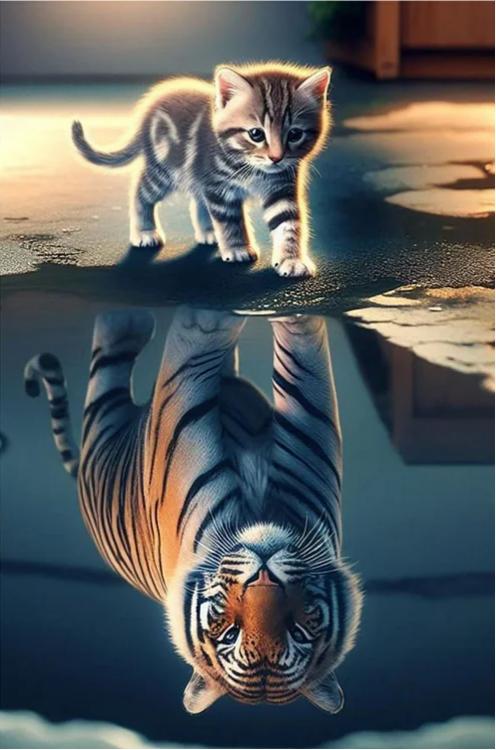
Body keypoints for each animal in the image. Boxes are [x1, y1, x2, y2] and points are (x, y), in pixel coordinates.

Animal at [25, 307, 362, 713]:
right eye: (230, 634)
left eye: (297, 632)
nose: (264, 570)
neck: (256, 511)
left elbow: (206, 333)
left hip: (105, 430)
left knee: (110, 368)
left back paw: (127, 319)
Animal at [71, 62, 333, 277]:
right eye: (256, 134)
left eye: (295, 134)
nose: (276, 158)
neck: (252, 167)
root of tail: (149, 108)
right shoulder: (219, 187)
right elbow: (230, 221)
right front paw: (237, 247)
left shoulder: (281, 186)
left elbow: (289, 223)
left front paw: (292, 259)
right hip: (163, 172)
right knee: (141, 194)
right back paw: (145, 232)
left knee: (198, 201)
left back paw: (209, 233)